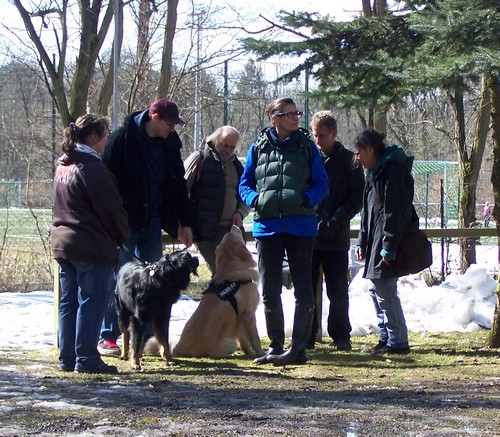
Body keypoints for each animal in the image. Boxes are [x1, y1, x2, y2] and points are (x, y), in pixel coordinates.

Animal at [172, 225, 266, 358]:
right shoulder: (249, 314)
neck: (230, 270)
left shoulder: (239, 319)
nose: (234, 225)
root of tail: (178, 349)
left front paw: (249, 352)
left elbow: (243, 340)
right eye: (233, 233)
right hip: (230, 343)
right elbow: (254, 338)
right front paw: (260, 353)